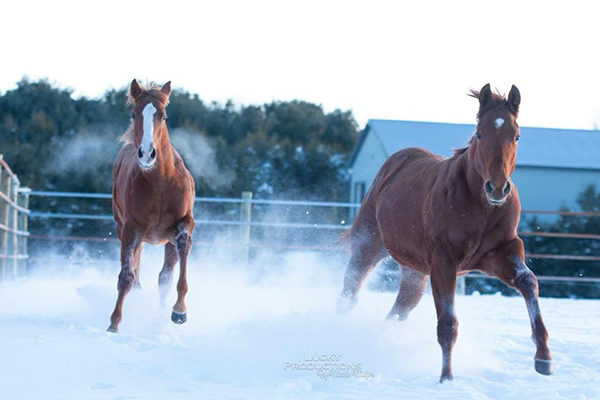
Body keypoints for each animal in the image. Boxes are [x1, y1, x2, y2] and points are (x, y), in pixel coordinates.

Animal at [105, 79, 195, 332]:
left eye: (163, 116)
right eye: (134, 113)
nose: (147, 154)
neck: (161, 184)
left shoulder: (183, 223)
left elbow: (182, 248)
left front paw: (179, 311)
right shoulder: (130, 228)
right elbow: (126, 274)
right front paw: (114, 323)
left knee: (164, 275)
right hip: (123, 229)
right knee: (133, 269)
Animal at [340, 83, 552, 382]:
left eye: (517, 135)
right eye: (479, 133)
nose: (497, 188)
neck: (479, 207)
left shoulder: (501, 254)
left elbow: (528, 282)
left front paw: (543, 357)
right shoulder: (443, 262)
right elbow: (447, 322)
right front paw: (446, 378)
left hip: (415, 273)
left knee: (398, 311)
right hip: (368, 246)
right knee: (350, 291)